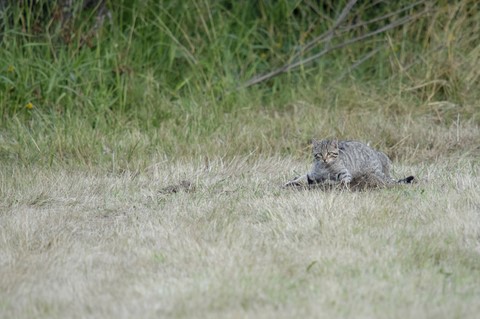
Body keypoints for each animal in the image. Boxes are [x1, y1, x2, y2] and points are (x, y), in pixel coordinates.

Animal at [284, 139, 412, 188]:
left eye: (329, 153)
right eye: (319, 154)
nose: (325, 159)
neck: (325, 167)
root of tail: (375, 152)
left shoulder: (344, 173)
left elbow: (344, 180)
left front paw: (339, 185)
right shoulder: (312, 175)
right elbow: (300, 178)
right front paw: (290, 182)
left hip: (374, 172)